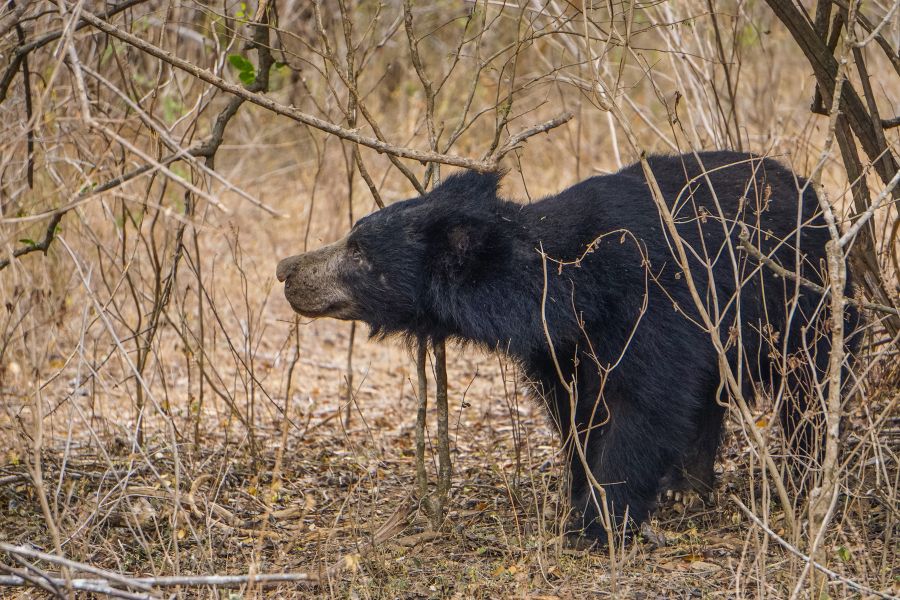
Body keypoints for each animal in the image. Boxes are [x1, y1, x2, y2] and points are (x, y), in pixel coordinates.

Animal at [276, 151, 859, 545]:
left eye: (357, 250)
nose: (286, 270)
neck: (571, 291)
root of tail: (814, 196)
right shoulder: (560, 348)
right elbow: (579, 414)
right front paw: (581, 495)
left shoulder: (653, 305)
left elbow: (644, 407)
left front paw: (599, 523)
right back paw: (688, 485)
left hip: (805, 305)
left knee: (808, 392)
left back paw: (806, 480)